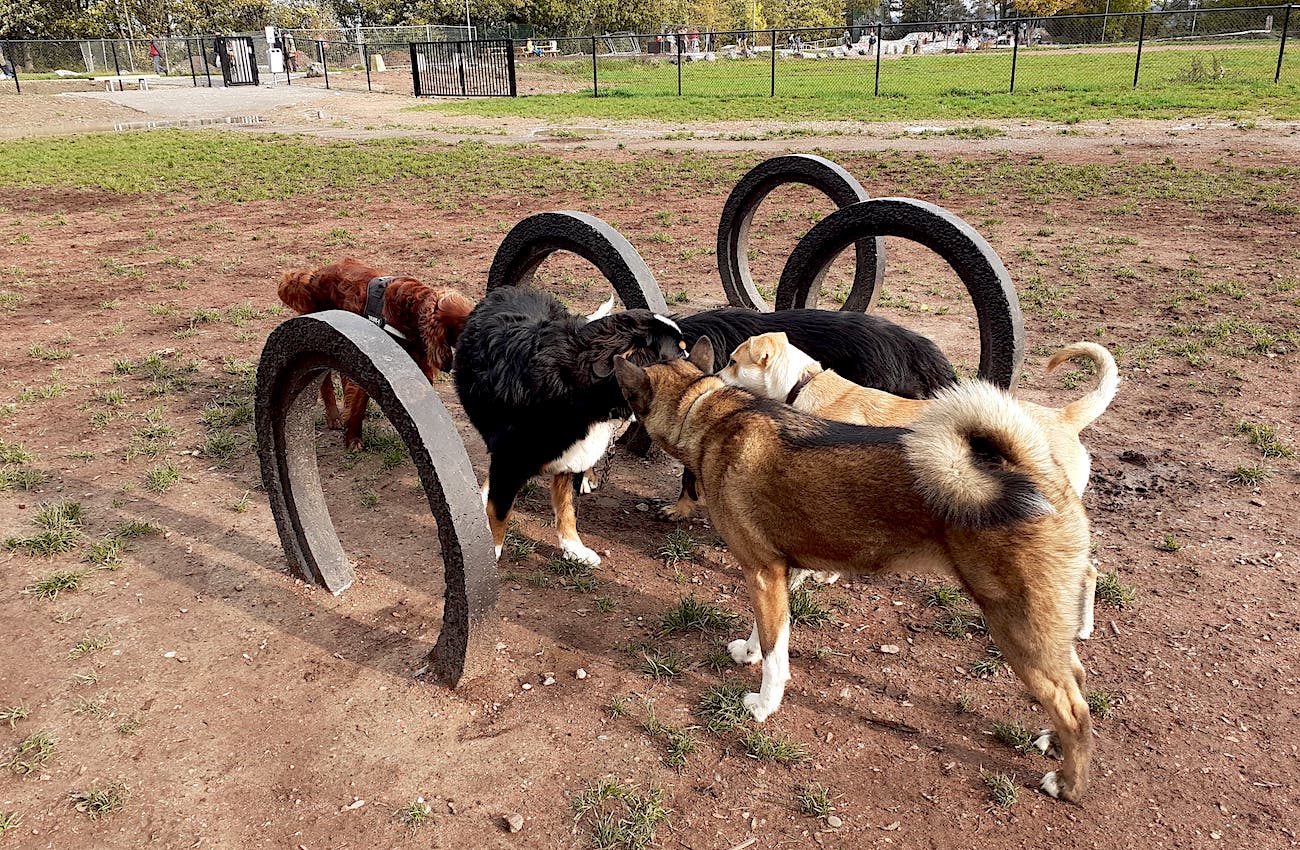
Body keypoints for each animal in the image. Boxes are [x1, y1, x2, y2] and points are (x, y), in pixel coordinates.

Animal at [276, 256, 475, 449]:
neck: (410, 311)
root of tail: (313, 275)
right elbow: (358, 404)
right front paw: (353, 439)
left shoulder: (421, 367)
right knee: (325, 381)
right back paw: (334, 417)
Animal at [452, 285, 686, 566]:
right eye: (679, 354)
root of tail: (513, 289)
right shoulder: (511, 459)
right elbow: (500, 511)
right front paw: (493, 551)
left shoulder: (571, 456)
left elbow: (567, 507)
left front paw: (574, 547)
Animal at [722, 332, 1118, 639]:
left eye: (732, 361)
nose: (714, 374)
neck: (802, 384)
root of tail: (1064, 417)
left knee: (1087, 572)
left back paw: (1081, 627)